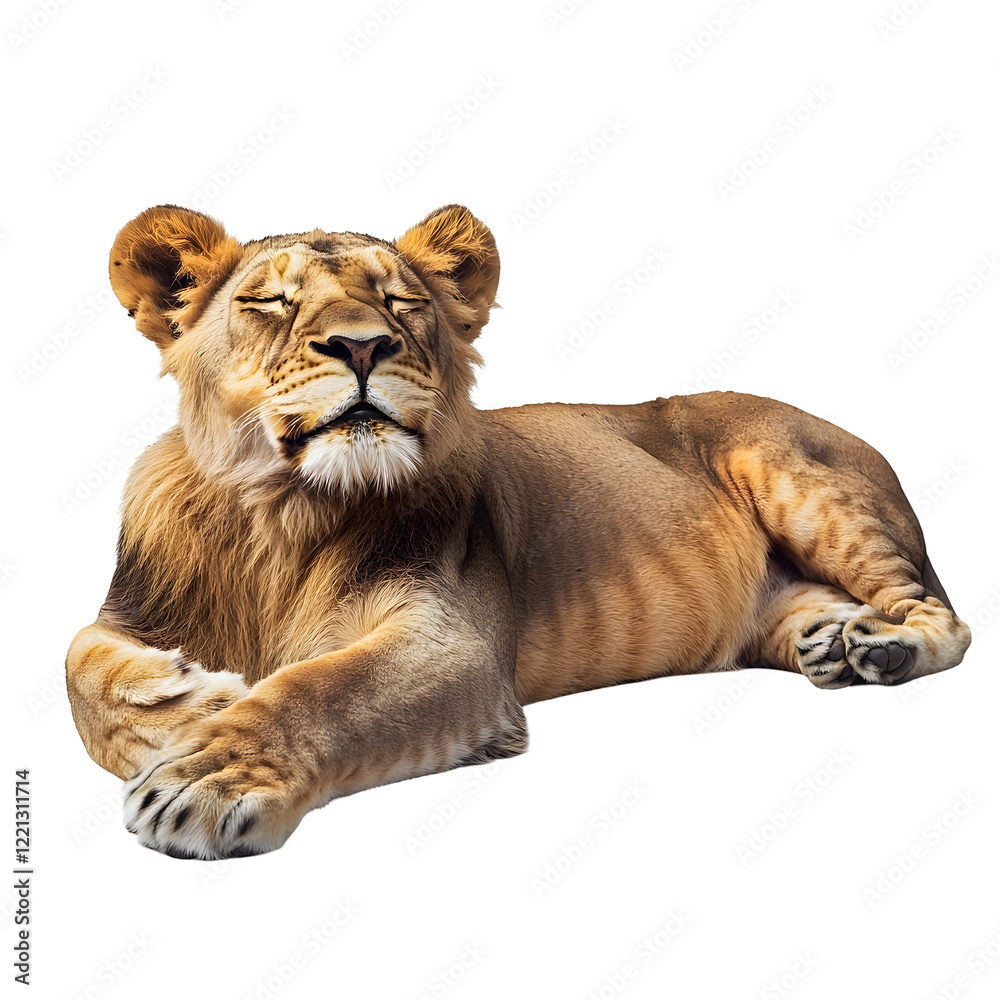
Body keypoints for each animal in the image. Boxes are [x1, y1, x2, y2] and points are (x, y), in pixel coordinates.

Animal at [65, 204, 972, 859]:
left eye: (400, 301)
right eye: (271, 301)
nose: (363, 344)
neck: (281, 517)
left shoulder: (453, 643)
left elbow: (319, 690)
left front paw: (204, 773)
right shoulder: (128, 611)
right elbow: (76, 664)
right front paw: (192, 697)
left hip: (798, 477)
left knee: (942, 613)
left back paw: (886, 648)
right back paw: (832, 641)